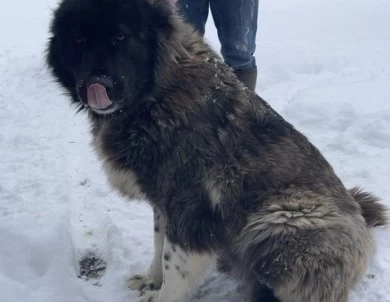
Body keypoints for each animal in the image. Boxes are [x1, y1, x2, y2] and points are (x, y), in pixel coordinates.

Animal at [46, 0, 386, 302]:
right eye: (78, 40)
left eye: (121, 38)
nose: (97, 82)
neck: (156, 96)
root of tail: (363, 226)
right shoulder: (163, 201)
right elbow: (158, 244)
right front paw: (152, 279)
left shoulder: (190, 206)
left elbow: (173, 263)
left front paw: (161, 295)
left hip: (277, 220)